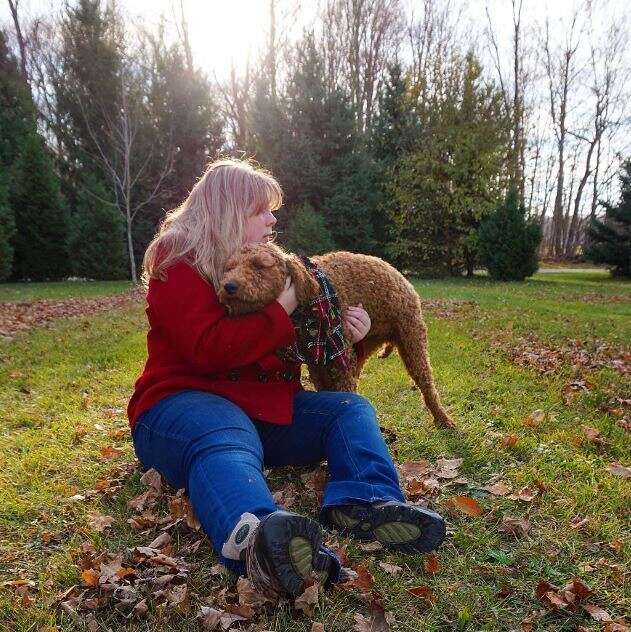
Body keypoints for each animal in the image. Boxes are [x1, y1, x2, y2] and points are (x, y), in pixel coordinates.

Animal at [217, 242, 454, 430]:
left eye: (259, 265)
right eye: (229, 268)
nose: (228, 286)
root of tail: (402, 277)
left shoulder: (337, 364)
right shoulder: (319, 366)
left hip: (411, 340)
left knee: (427, 385)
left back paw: (443, 420)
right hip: (362, 349)